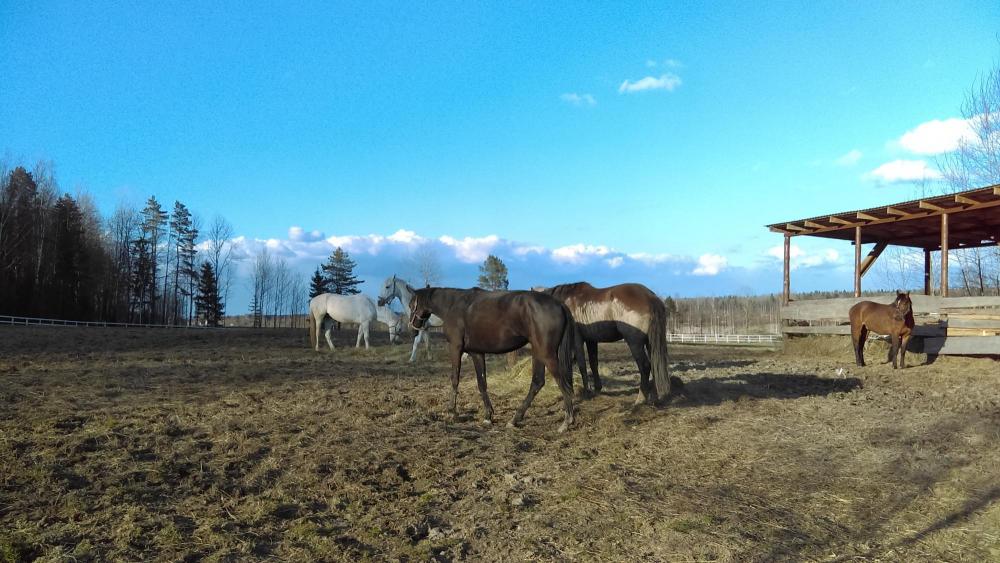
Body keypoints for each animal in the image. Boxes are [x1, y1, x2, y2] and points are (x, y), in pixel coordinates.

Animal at [409, 287, 577, 432]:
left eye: (411, 305)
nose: (413, 329)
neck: (453, 305)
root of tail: (559, 304)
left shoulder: (455, 348)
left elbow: (455, 379)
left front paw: (452, 412)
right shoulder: (477, 353)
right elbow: (482, 383)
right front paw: (488, 416)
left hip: (546, 354)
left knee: (563, 383)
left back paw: (566, 422)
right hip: (538, 353)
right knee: (537, 382)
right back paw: (514, 419)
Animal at [536, 282, 674, 405]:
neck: (567, 303)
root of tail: (650, 296)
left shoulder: (578, 340)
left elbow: (582, 365)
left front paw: (587, 391)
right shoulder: (591, 340)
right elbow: (593, 363)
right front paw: (597, 389)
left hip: (635, 343)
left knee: (645, 367)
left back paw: (640, 399)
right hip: (650, 343)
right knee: (655, 365)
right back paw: (654, 398)